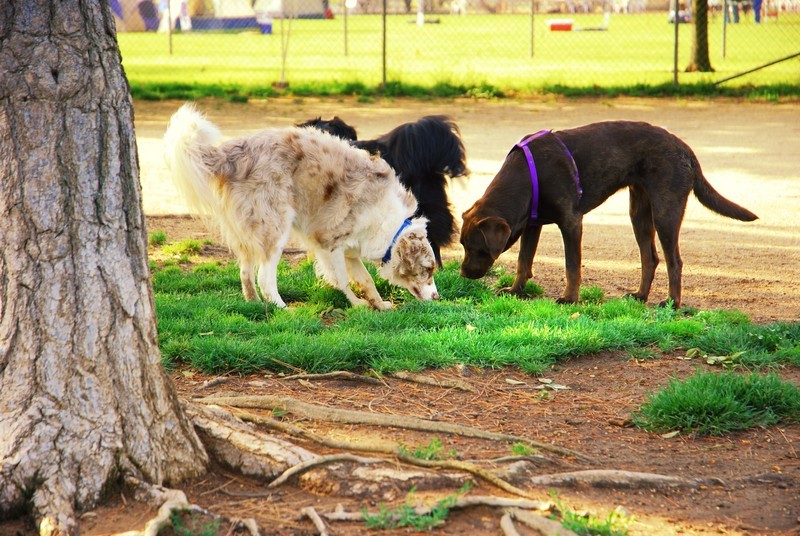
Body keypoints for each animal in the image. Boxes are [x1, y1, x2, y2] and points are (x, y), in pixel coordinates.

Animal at [162, 103, 438, 310]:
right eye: (427, 269)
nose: (438, 297)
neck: (389, 223)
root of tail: (230, 155)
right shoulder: (329, 244)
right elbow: (342, 281)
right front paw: (358, 305)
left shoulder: (350, 251)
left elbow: (366, 280)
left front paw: (378, 305)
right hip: (274, 229)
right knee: (265, 278)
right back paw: (282, 309)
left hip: (246, 235)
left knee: (246, 273)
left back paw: (253, 305)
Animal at [460, 120, 760, 308]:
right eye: (463, 245)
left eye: (477, 248)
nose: (462, 274)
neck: (528, 178)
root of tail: (686, 149)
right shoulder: (532, 223)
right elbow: (524, 261)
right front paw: (515, 291)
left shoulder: (571, 222)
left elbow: (572, 266)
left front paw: (570, 299)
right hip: (639, 211)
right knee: (650, 257)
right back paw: (640, 295)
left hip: (666, 209)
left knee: (674, 261)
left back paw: (672, 303)